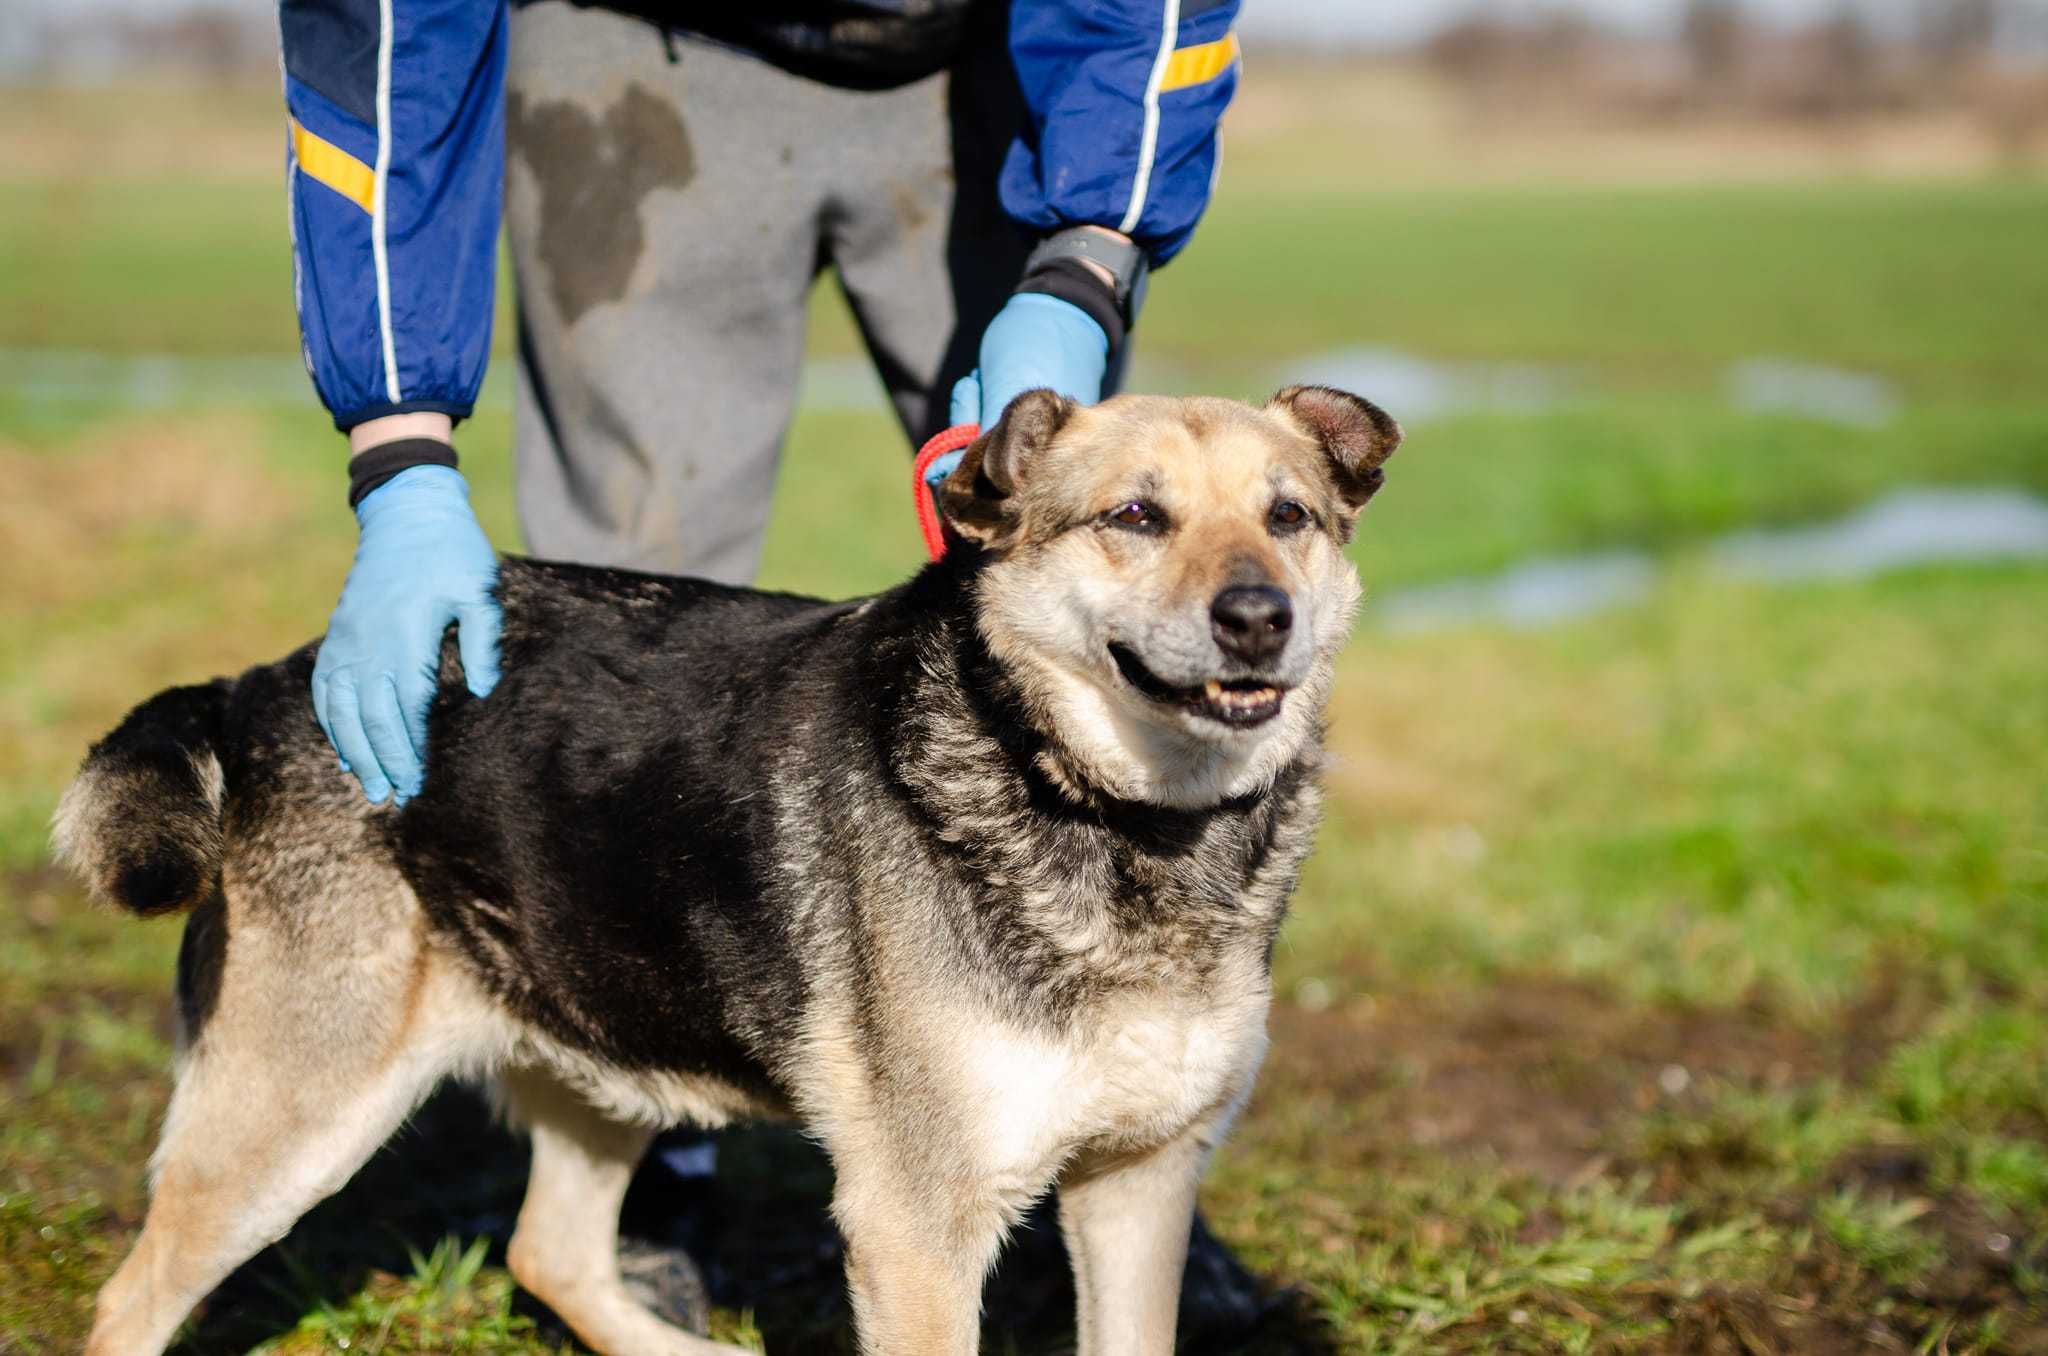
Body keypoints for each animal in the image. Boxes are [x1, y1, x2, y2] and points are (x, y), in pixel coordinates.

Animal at [51, 385, 1392, 1356]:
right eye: (1133, 518)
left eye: (1287, 518)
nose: (1257, 618)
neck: (1114, 814)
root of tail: (264, 686)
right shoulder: (917, 1226)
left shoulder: (1136, 1186)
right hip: (294, 1114)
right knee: (130, 1304)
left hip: (604, 1046)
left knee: (552, 1255)